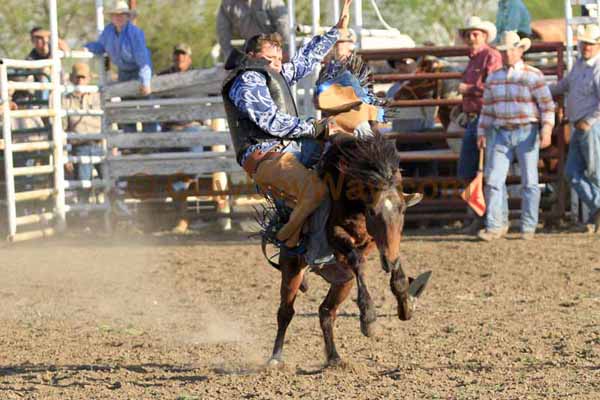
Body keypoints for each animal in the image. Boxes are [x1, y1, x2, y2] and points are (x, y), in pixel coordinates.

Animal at [268, 134, 426, 366]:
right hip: (292, 269)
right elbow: (357, 261)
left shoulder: (374, 240)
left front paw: (404, 302)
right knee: (285, 312)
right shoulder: (335, 234)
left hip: (343, 281)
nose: (387, 262)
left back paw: (334, 358)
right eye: (372, 211)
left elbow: (392, 260)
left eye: (403, 210)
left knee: (326, 311)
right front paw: (368, 319)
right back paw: (275, 358)